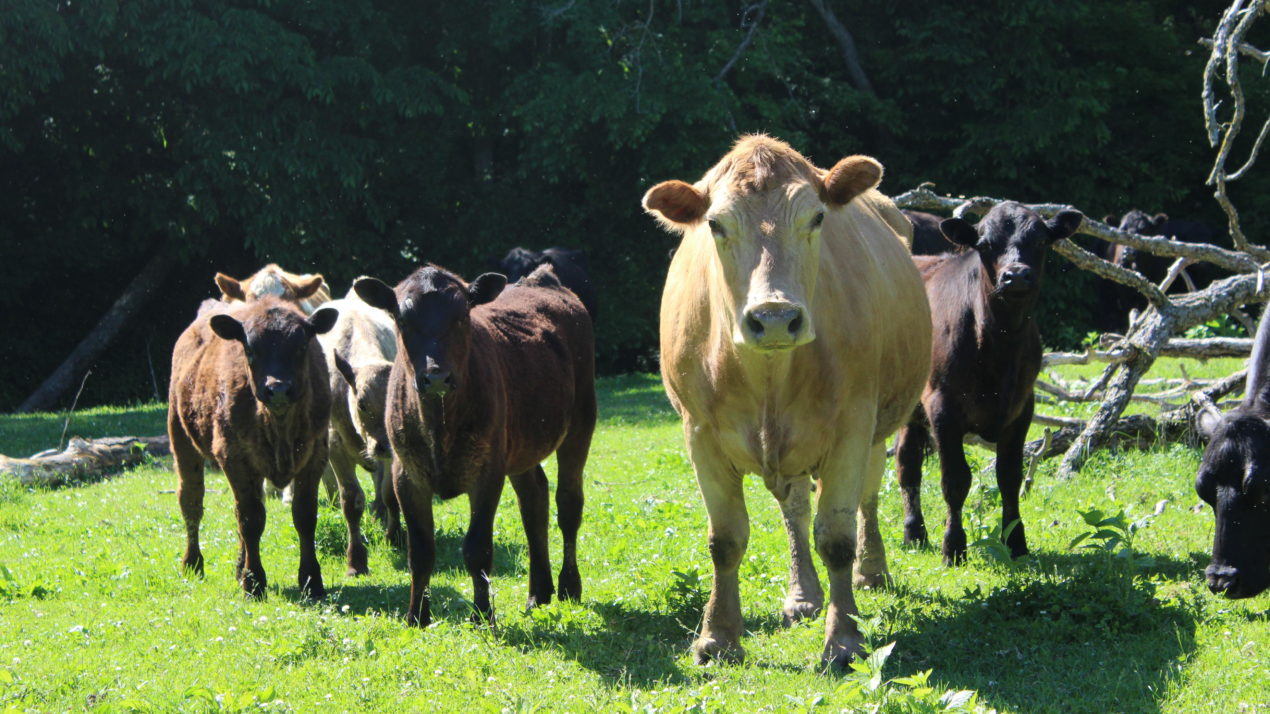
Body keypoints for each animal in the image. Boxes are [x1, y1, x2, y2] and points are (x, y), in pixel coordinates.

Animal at [168, 293, 340, 594]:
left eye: (302, 345)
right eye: (249, 348)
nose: (278, 389)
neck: (279, 425)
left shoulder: (315, 456)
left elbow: (304, 516)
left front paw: (311, 580)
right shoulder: (235, 458)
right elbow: (250, 520)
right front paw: (254, 582)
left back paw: (238, 567)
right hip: (182, 440)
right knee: (191, 502)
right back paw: (193, 563)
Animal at [355, 260, 596, 622]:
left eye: (462, 316)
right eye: (403, 319)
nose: (436, 376)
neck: (439, 426)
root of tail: (544, 279)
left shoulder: (487, 472)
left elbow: (477, 548)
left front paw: (482, 614)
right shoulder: (406, 475)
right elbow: (420, 551)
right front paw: (417, 616)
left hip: (581, 422)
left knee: (568, 504)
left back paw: (569, 585)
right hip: (520, 446)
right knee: (534, 500)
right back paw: (538, 592)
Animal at [645, 134, 934, 665]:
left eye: (817, 218)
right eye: (715, 224)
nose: (775, 317)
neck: (767, 377)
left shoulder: (852, 426)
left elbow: (836, 536)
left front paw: (844, 640)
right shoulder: (699, 433)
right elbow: (726, 539)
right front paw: (718, 637)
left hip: (876, 427)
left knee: (867, 498)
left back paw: (872, 571)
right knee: (795, 509)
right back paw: (804, 596)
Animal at [894, 203, 1082, 564]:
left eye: (1040, 241)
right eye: (985, 244)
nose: (1016, 275)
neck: (999, 345)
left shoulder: (1023, 407)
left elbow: (1009, 477)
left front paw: (1017, 543)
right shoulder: (943, 407)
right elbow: (955, 480)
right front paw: (954, 547)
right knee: (907, 465)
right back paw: (914, 532)